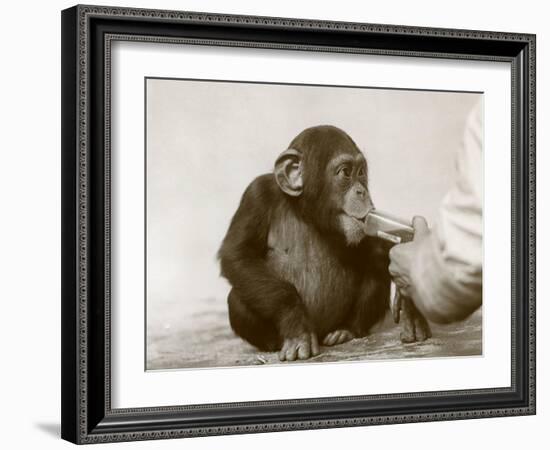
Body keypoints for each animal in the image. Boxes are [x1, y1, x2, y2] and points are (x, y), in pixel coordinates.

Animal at [219, 124, 432, 362]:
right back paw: (274, 343)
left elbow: (375, 248)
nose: (362, 191)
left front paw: (411, 303)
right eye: (346, 172)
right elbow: (239, 254)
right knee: (237, 298)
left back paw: (346, 330)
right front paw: (296, 326)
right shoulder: (256, 196)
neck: (305, 211)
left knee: (375, 269)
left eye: (361, 172)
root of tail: (321, 334)